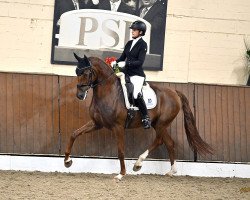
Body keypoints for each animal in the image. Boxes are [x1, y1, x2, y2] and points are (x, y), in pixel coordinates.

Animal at [64, 53, 213, 180]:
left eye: (87, 73)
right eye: (77, 72)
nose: (80, 95)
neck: (108, 92)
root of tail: (174, 92)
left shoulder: (118, 127)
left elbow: (121, 150)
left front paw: (121, 174)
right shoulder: (97, 123)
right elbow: (74, 134)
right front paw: (67, 161)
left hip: (161, 124)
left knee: (162, 141)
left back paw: (140, 164)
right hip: (158, 124)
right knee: (168, 142)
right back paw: (168, 170)